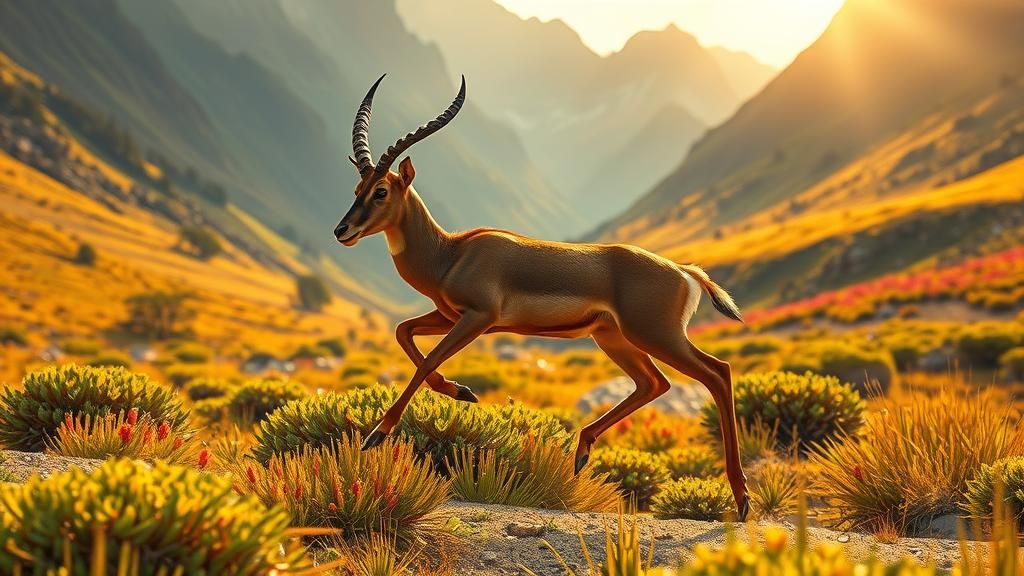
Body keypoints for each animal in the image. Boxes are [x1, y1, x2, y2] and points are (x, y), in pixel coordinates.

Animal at [335, 75, 749, 519]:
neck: (451, 254)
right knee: (654, 382)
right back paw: (581, 453)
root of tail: (685, 271)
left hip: (657, 336)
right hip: (613, 337)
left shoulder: (478, 318)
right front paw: (462, 392)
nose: (342, 231)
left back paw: (742, 498)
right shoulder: (449, 315)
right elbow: (403, 332)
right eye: (357, 187)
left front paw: (376, 435)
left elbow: (428, 357)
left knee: (717, 372)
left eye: (380, 191)